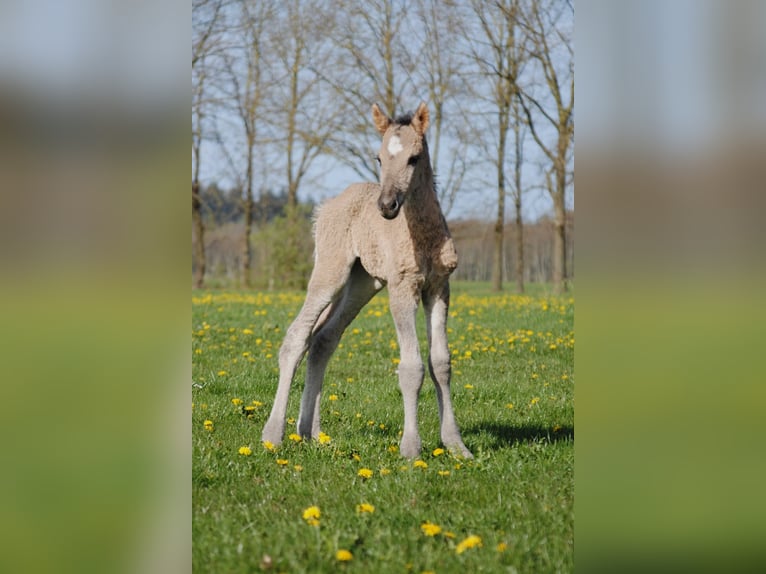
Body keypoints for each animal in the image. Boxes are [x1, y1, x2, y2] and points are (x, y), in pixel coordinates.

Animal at [261, 102, 472, 458]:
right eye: (379, 158)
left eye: (414, 158)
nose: (387, 206)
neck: (422, 238)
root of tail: (326, 206)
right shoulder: (402, 288)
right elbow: (411, 367)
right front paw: (411, 448)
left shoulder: (439, 287)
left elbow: (441, 363)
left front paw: (456, 445)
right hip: (331, 271)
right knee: (296, 336)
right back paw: (273, 434)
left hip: (363, 283)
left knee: (323, 339)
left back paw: (310, 433)